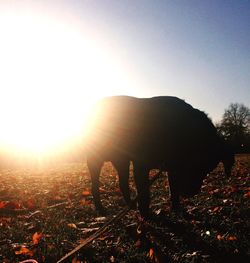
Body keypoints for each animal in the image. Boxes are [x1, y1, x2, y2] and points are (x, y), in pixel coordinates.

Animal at [85, 96, 234, 218]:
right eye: (195, 166)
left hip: (121, 161)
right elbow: (145, 193)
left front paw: (177, 209)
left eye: (207, 171)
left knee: (122, 183)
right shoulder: (141, 166)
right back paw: (102, 209)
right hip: (96, 160)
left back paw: (130, 205)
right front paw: (145, 214)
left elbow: (173, 190)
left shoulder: (172, 169)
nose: (190, 193)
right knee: (95, 186)